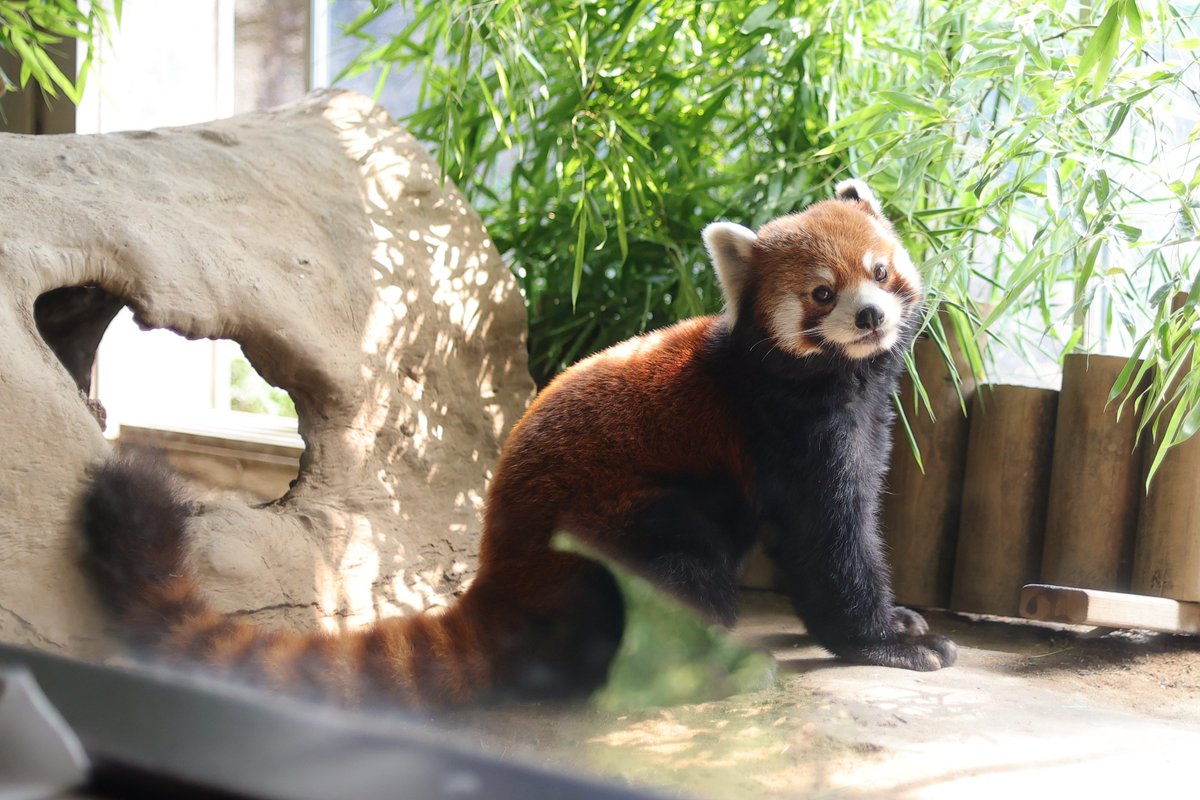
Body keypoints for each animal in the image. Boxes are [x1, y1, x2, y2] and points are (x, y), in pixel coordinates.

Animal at [79, 179, 955, 705]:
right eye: (822, 294)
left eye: (882, 271)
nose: (869, 316)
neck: (838, 381)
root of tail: (494, 580)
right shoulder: (783, 432)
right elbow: (826, 544)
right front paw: (880, 641)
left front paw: (896, 624)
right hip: (622, 527)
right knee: (677, 571)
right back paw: (707, 668)